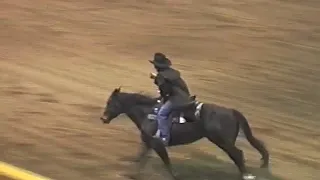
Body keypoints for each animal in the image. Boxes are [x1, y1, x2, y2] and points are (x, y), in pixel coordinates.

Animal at [100, 87, 270, 180]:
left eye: (110, 102)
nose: (103, 118)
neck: (149, 114)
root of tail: (231, 111)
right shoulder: (148, 143)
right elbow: (140, 158)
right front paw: (132, 175)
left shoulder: (158, 144)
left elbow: (166, 162)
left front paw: (175, 176)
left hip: (222, 141)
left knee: (238, 155)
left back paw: (246, 175)